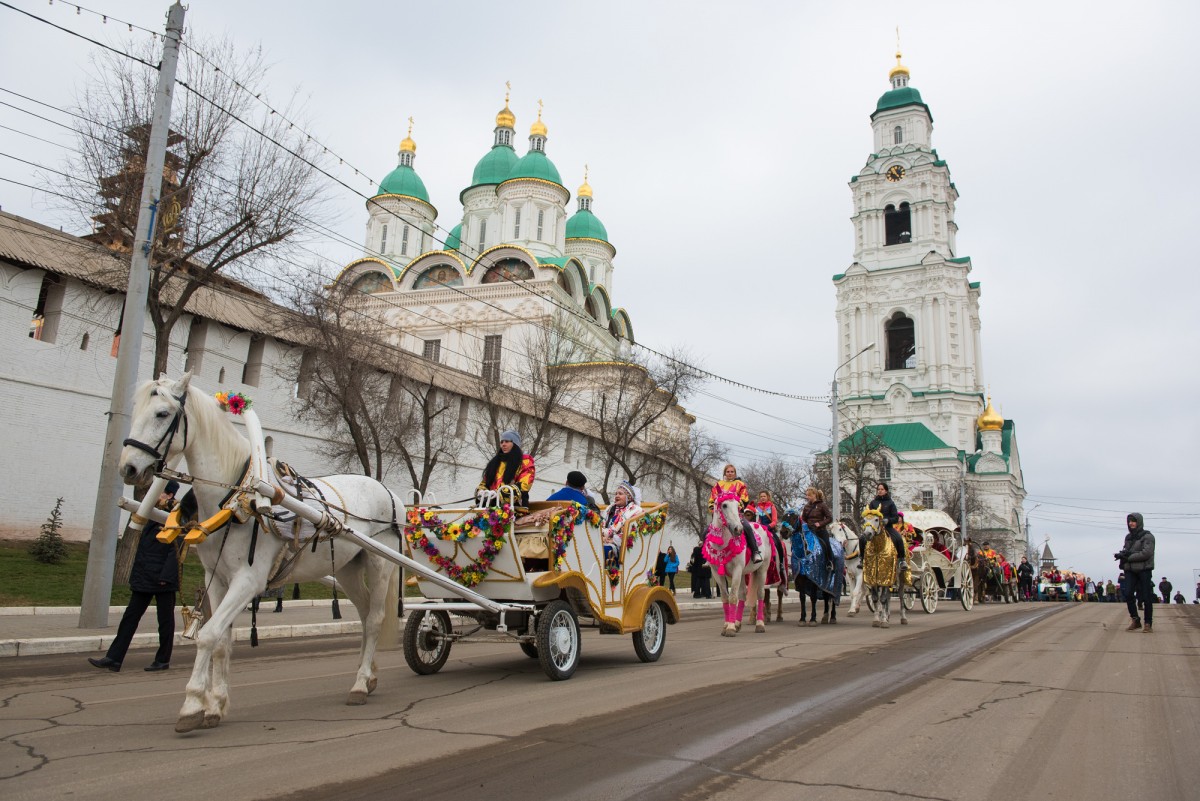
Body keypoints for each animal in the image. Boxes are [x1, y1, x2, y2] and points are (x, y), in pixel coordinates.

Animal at [119, 376, 405, 733]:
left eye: (162, 413)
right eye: (135, 409)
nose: (128, 467)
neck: (239, 495)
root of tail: (389, 490)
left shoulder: (249, 581)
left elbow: (207, 636)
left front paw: (191, 704)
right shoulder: (217, 579)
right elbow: (222, 640)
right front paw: (215, 704)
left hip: (379, 564)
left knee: (375, 618)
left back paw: (360, 683)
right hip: (348, 569)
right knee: (365, 616)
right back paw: (368, 677)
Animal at [700, 491, 772, 633]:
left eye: (738, 506)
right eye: (724, 505)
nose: (738, 529)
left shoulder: (737, 570)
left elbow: (733, 596)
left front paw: (730, 628)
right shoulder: (717, 573)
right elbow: (725, 597)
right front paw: (727, 625)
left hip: (762, 570)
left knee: (760, 594)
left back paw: (760, 624)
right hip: (744, 574)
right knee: (743, 595)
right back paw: (738, 623)